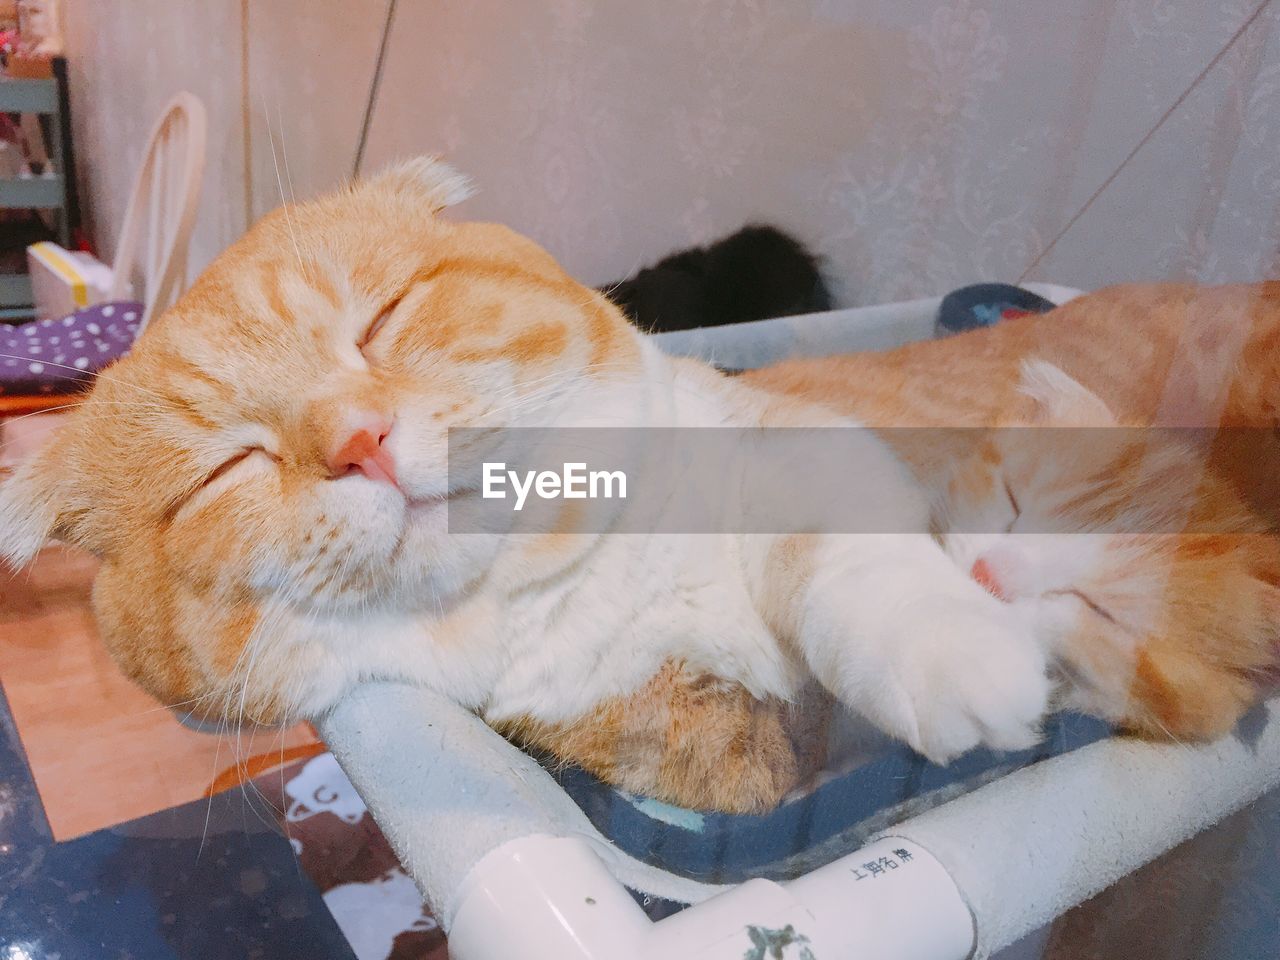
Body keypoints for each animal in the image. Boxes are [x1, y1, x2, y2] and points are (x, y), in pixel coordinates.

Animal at [0, 161, 1274, 814]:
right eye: (227, 467)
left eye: (383, 318)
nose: (360, 440)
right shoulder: (714, 756)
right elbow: (727, 746)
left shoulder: (808, 448)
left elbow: (848, 562)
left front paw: (946, 649)